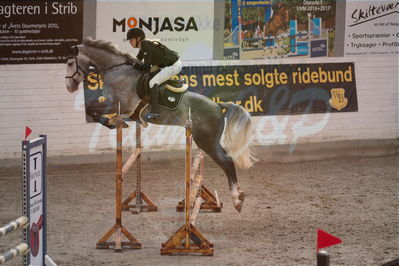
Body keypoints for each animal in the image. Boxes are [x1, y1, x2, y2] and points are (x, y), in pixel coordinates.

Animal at [64, 37, 258, 212]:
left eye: (69, 62)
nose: (69, 87)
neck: (117, 71)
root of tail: (218, 106)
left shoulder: (117, 104)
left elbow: (90, 109)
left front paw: (111, 123)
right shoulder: (116, 106)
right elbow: (91, 110)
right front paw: (114, 123)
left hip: (206, 141)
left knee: (226, 161)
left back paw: (237, 200)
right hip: (210, 141)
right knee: (228, 159)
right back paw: (239, 196)